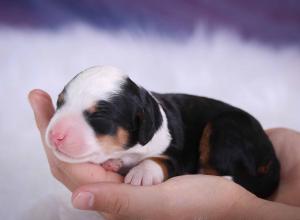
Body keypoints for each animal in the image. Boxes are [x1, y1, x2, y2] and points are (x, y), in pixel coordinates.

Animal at [45, 65, 280, 198]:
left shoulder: (181, 156)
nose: (55, 135)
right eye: (60, 103)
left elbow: (162, 160)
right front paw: (114, 163)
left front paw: (142, 173)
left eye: (98, 117)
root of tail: (271, 153)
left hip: (224, 130)